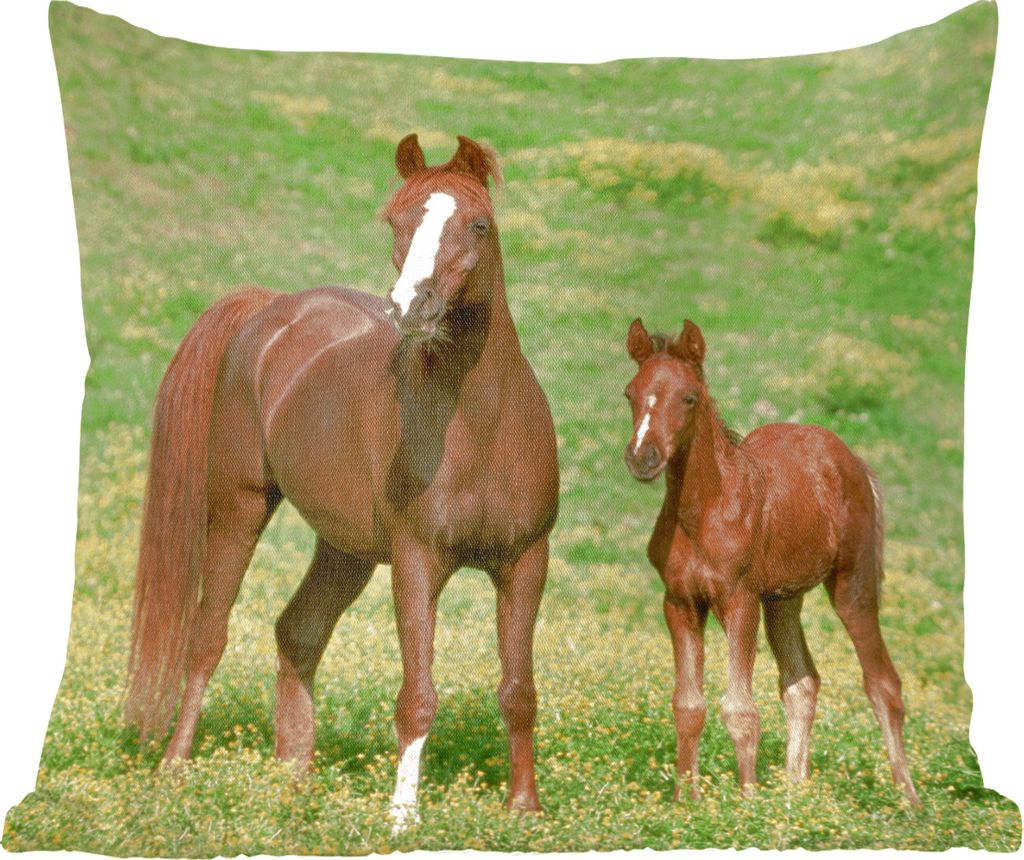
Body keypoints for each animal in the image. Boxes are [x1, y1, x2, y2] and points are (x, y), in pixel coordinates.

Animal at [124, 134, 559, 830]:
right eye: (395, 221)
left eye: (478, 224)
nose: (412, 308)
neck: (481, 426)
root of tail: (270, 307)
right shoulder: (418, 560)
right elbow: (418, 695)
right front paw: (403, 819)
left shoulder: (525, 560)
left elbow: (519, 689)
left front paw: (524, 809)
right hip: (239, 508)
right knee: (207, 637)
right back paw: (174, 768)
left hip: (344, 548)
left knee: (298, 632)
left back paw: (292, 780)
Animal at [622, 317, 920, 806]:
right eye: (630, 393)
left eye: (689, 397)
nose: (642, 457)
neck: (704, 512)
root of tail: (853, 461)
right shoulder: (680, 601)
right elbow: (688, 705)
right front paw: (686, 803)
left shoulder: (739, 600)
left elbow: (740, 709)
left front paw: (747, 803)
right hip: (783, 598)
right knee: (802, 683)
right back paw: (794, 795)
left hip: (851, 584)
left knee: (882, 683)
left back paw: (907, 798)